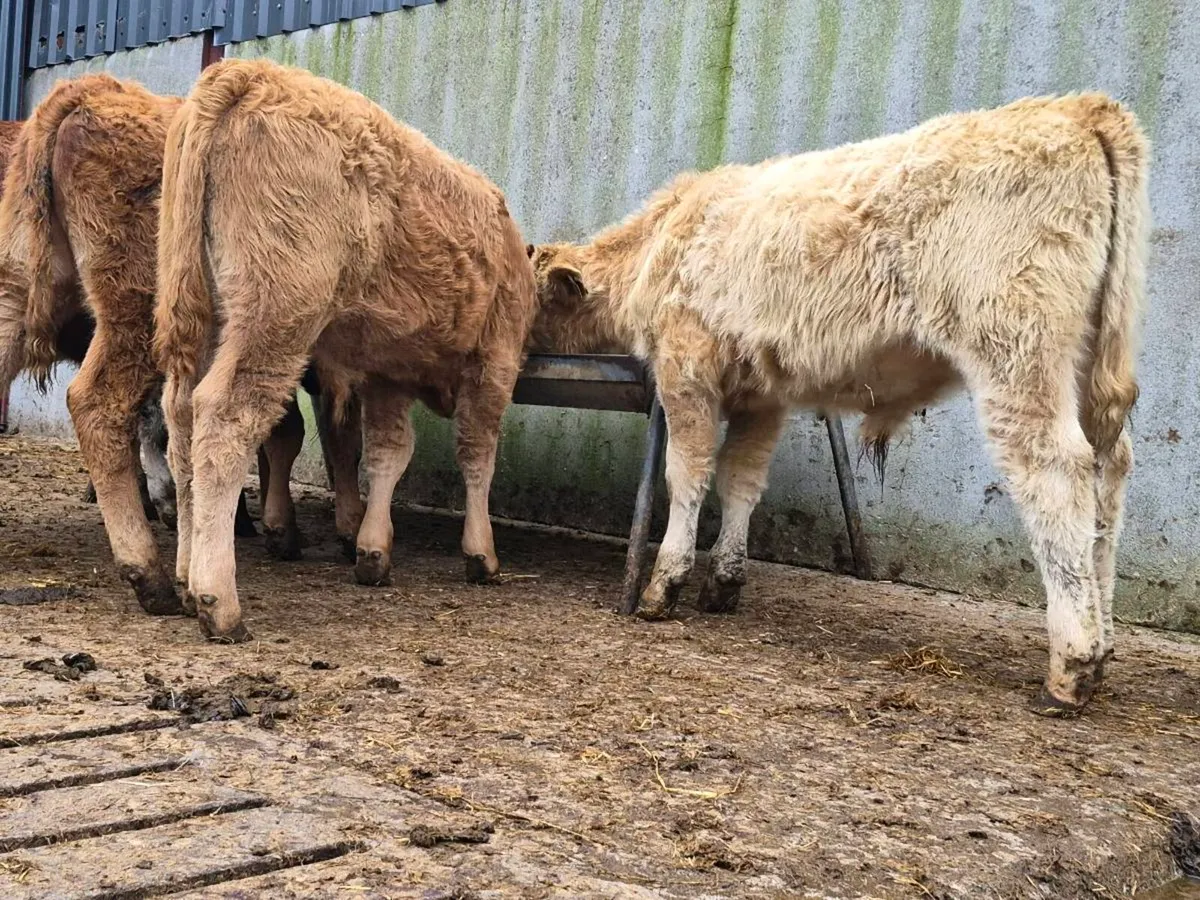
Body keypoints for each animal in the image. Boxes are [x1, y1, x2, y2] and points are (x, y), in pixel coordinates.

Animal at [0, 74, 364, 616]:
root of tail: (88, 93)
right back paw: (149, 574)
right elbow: (327, 438)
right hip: (136, 315)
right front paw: (331, 529)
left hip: (16, 295)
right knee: (99, 406)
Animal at [154, 58, 537, 642]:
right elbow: (477, 454)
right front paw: (482, 554)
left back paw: (183, 576)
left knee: (181, 427)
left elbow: (385, 452)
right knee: (224, 419)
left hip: (199, 317)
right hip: (274, 316)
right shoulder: (494, 361)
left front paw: (372, 549)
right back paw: (218, 601)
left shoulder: (386, 375)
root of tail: (249, 72)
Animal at [527, 93, 1149, 715]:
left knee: (1055, 470)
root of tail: (1077, 108)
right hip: (1093, 364)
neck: (663, 237)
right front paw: (724, 579)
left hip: (1017, 350)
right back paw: (1105, 643)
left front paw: (665, 584)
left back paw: (1072, 664)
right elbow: (741, 480)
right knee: (1108, 476)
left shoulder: (687, 371)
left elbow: (688, 476)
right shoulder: (762, 395)